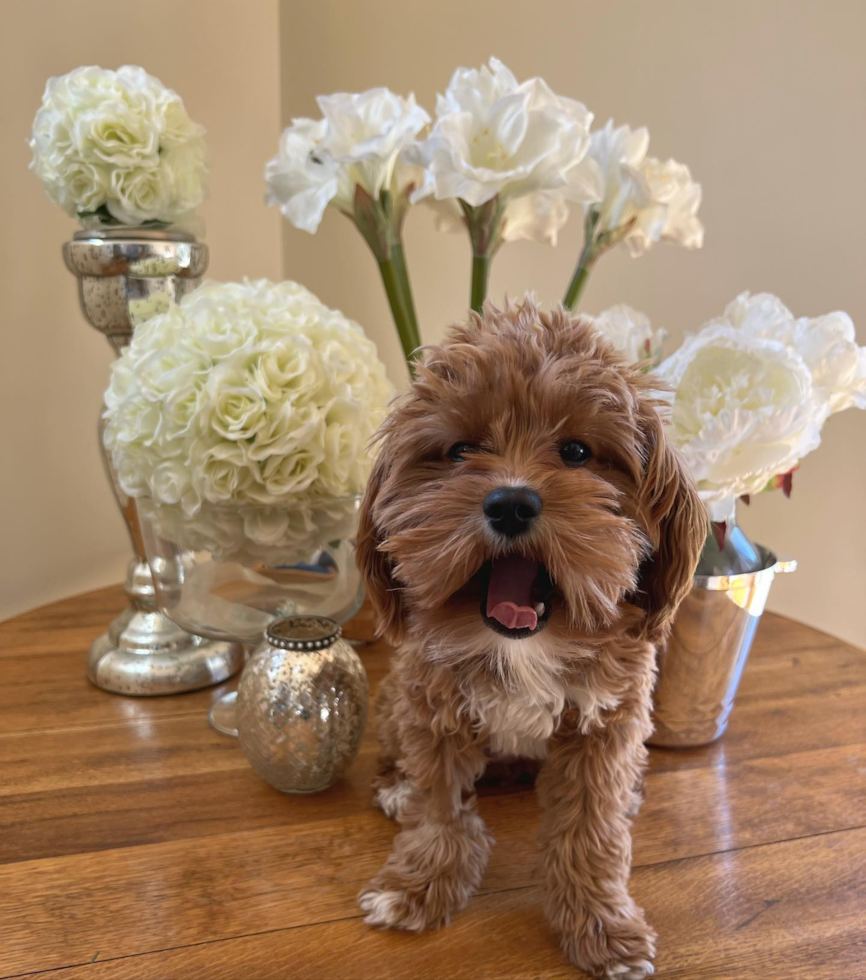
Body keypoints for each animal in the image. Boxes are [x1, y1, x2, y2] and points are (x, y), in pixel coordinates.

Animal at [354, 300, 700, 980]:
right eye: (461, 449)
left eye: (576, 451)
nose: (511, 502)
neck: (522, 651)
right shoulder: (432, 709)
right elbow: (439, 808)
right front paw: (417, 884)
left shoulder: (607, 725)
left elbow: (591, 831)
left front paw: (600, 922)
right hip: (393, 701)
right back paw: (394, 786)